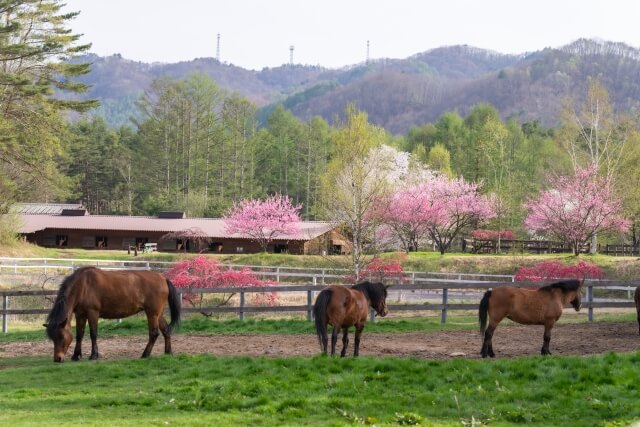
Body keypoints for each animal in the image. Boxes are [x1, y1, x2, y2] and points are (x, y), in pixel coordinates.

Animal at [44, 270, 180, 362]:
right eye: (52, 338)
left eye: (61, 337)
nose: (57, 358)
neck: (83, 285)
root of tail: (163, 278)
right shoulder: (80, 315)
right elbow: (79, 335)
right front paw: (76, 355)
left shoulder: (93, 313)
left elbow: (93, 334)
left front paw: (94, 355)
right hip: (158, 314)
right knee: (166, 330)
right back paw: (168, 352)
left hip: (151, 313)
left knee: (154, 333)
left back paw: (145, 354)